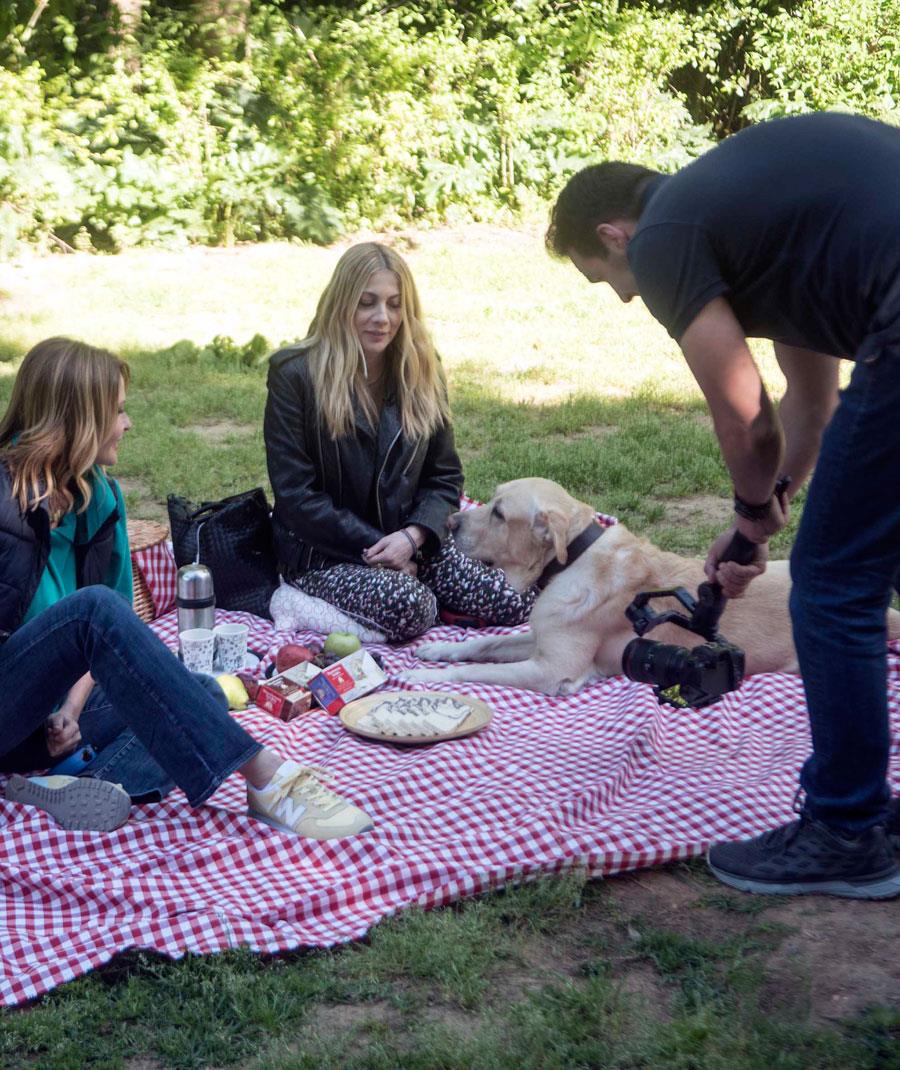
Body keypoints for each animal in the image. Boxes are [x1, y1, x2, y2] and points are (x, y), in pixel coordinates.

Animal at [407, 477, 900, 696]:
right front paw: (438, 650)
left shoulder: (553, 671)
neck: (572, 558)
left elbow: (475, 671)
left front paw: (426, 676)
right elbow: (485, 644)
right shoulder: (541, 638)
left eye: (498, 513)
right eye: (489, 501)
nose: (449, 523)